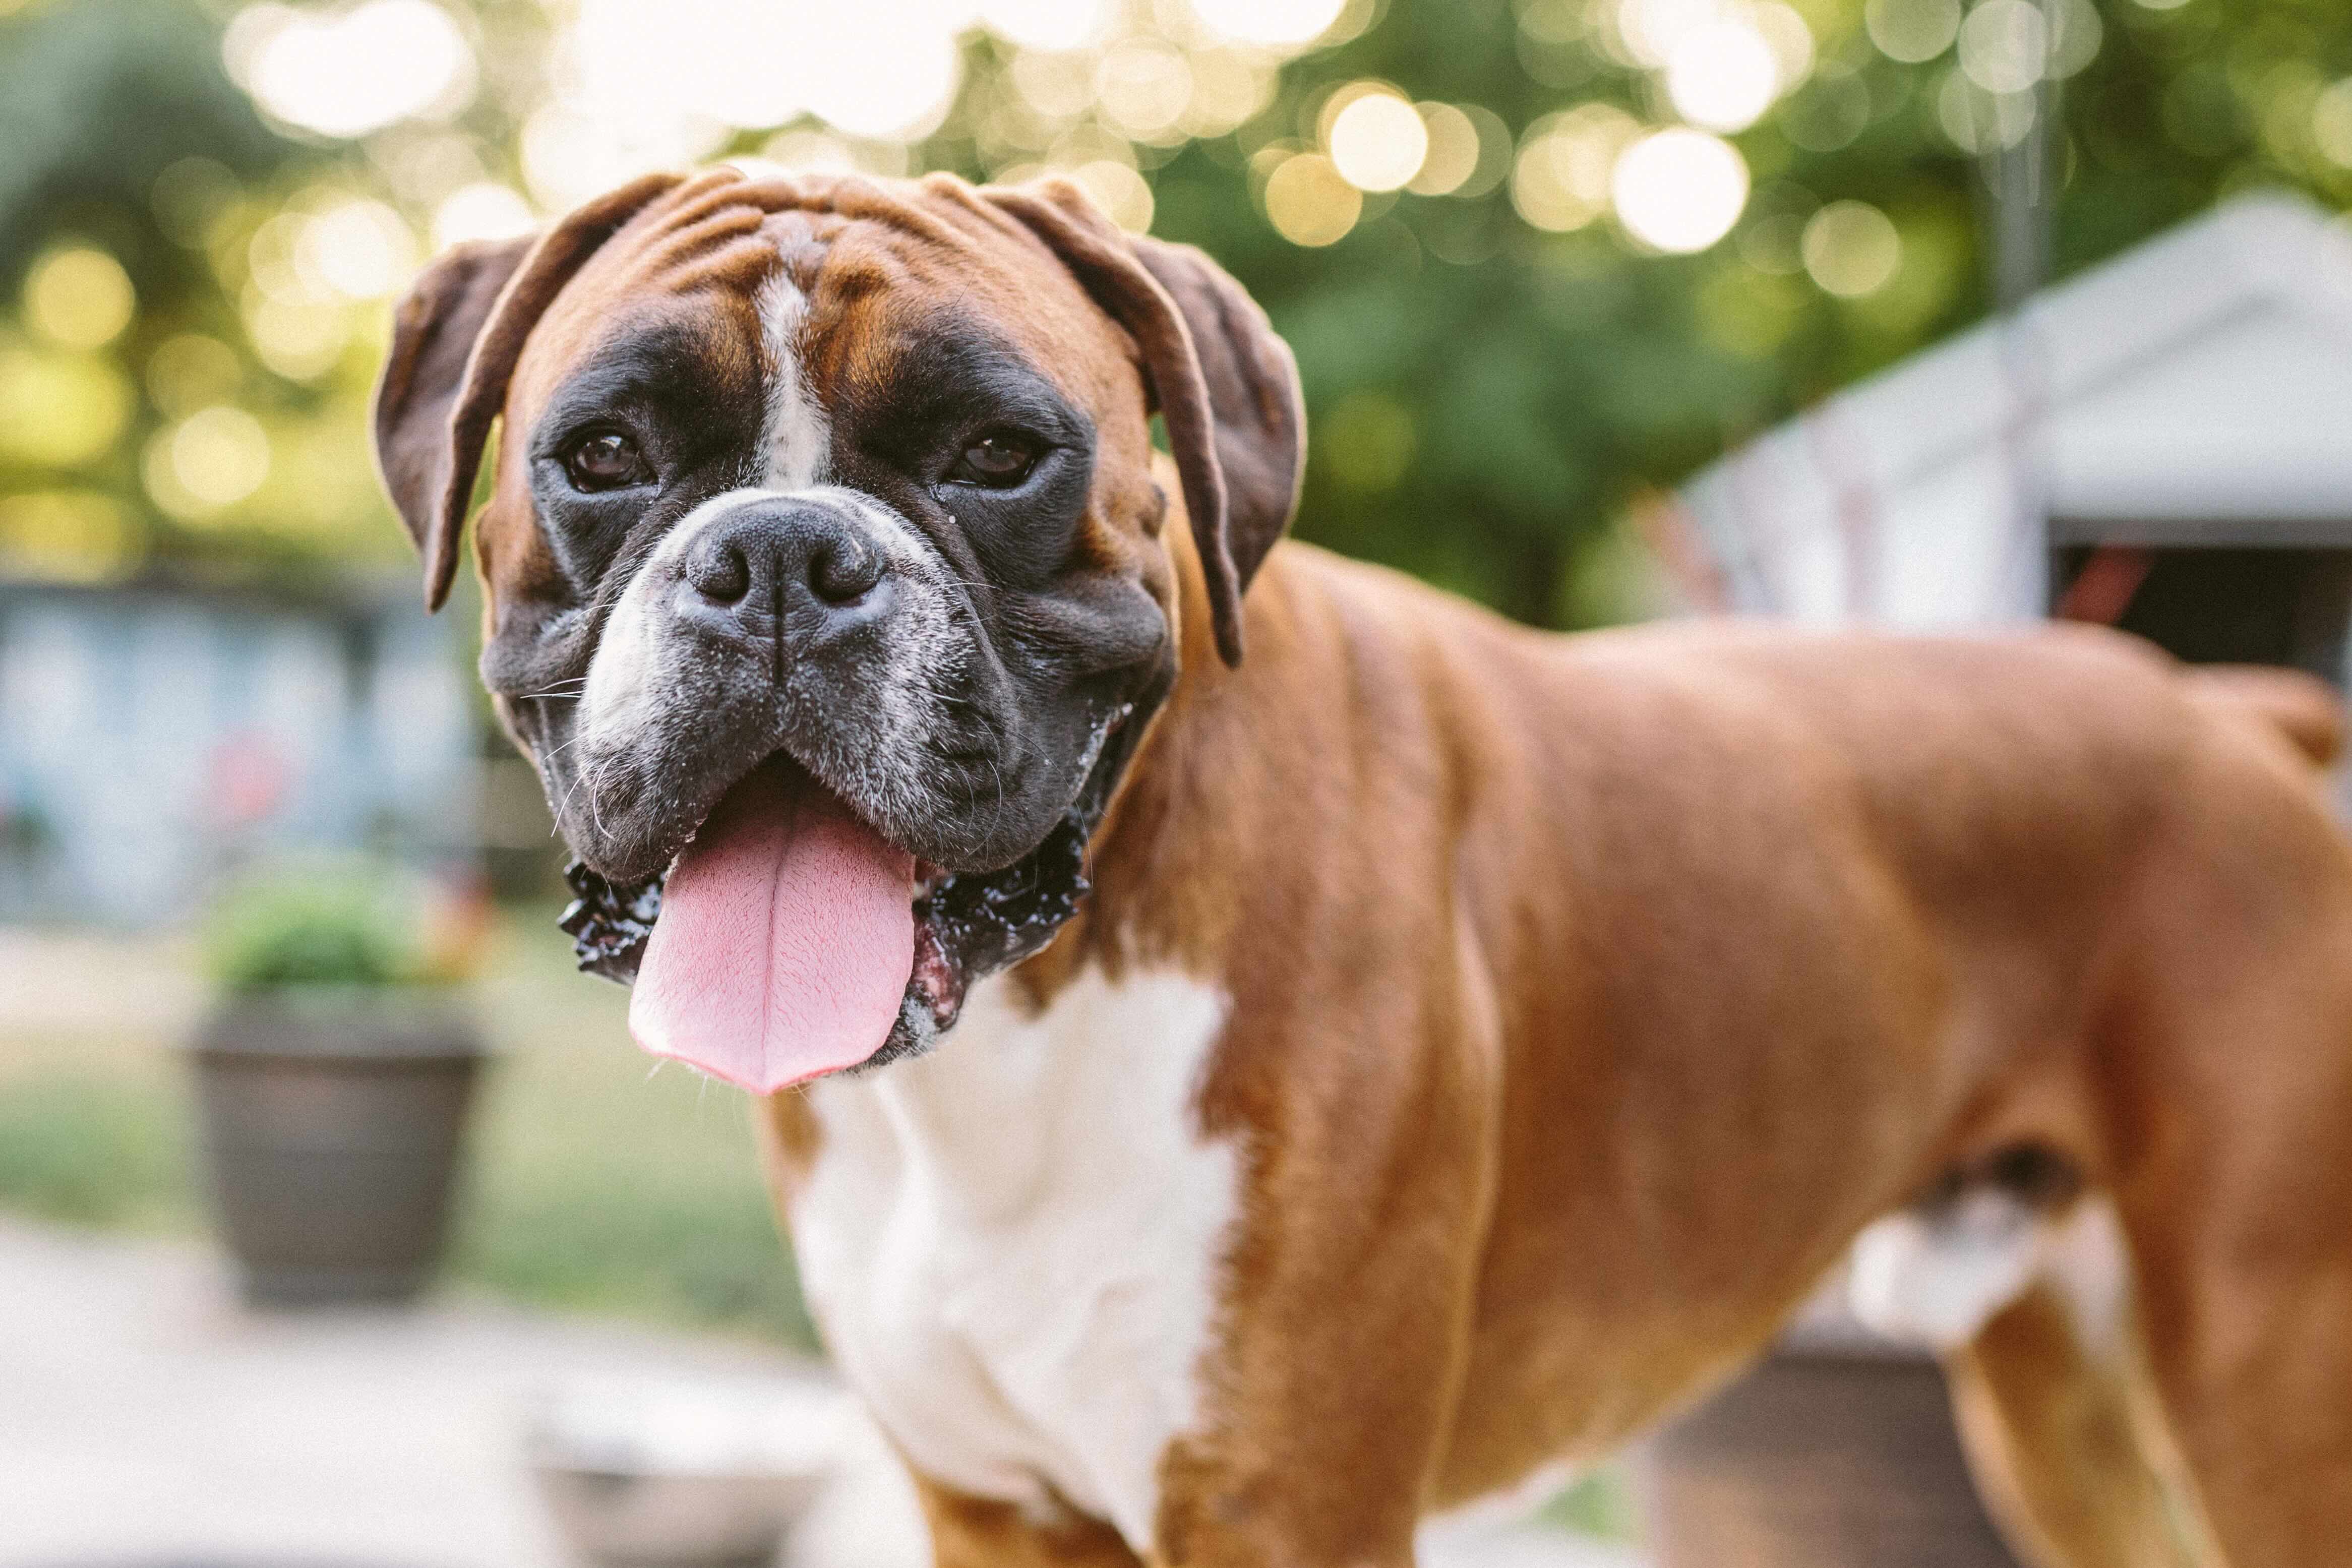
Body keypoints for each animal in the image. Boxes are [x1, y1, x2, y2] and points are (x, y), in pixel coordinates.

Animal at [372, 165, 2352, 1561]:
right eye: (604, 453)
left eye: (1000, 453)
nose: (781, 555)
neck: (1025, 1021)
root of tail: (2219, 710)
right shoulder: (998, 1509)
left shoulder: (1284, 1501)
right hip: (2061, 1419)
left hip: (2265, 1382)